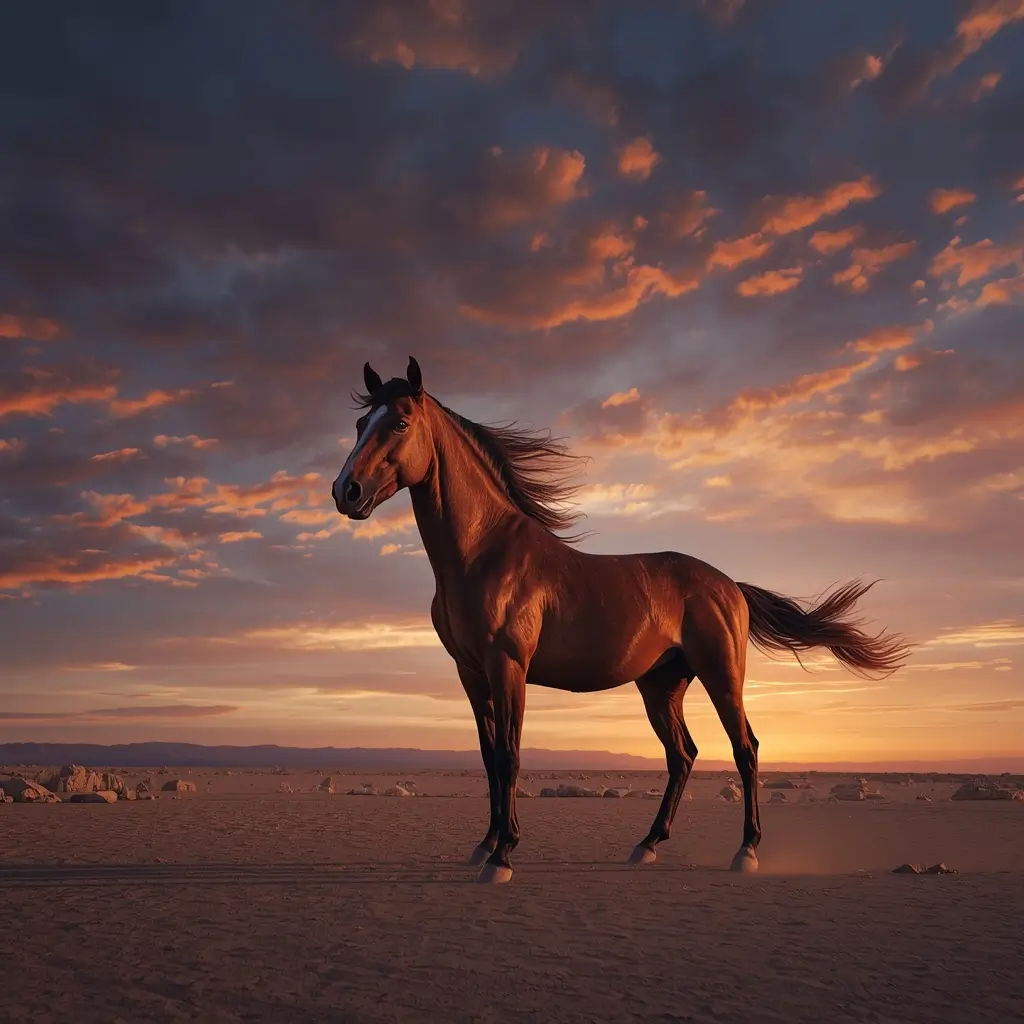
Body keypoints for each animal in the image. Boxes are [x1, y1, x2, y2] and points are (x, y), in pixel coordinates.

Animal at [331, 358, 911, 884]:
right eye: (361, 424)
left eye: (400, 422)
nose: (346, 491)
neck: (484, 552)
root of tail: (729, 585)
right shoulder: (472, 674)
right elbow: (488, 756)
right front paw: (486, 845)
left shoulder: (508, 666)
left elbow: (510, 756)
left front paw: (503, 857)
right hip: (661, 686)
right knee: (683, 755)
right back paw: (647, 845)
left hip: (722, 677)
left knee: (744, 749)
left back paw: (745, 852)